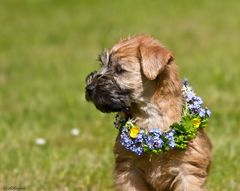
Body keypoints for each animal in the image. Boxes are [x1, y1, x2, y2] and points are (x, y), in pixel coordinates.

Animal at [85, 35, 212, 190]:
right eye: (102, 64)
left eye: (120, 70)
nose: (89, 88)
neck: (150, 115)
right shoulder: (128, 170)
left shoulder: (188, 171)